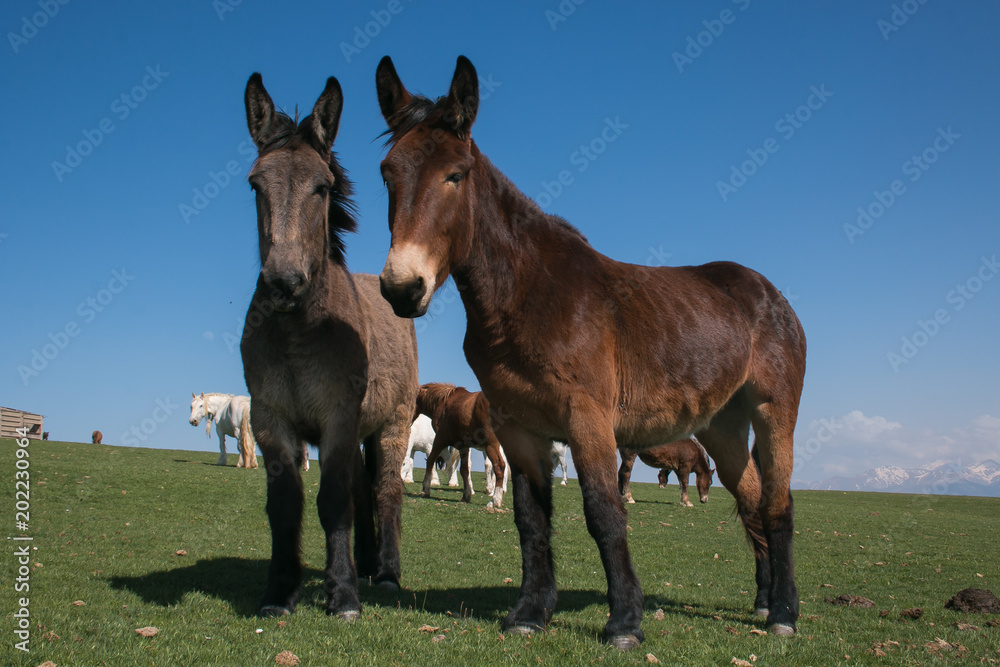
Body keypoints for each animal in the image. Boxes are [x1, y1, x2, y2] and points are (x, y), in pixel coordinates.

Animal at [241, 74, 418, 620]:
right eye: (256, 185)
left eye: (322, 187)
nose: (283, 283)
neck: (299, 335)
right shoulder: (271, 419)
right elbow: (285, 505)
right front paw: (280, 592)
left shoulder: (338, 417)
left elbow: (335, 500)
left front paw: (342, 595)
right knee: (364, 493)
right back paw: (365, 563)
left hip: (392, 424)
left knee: (385, 491)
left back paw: (385, 573)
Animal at [374, 57, 804, 648]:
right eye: (388, 173)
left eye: (455, 174)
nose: (401, 287)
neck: (530, 295)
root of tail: (769, 294)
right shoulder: (518, 429)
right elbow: (531, 519)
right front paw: (531, 612)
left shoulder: (588, 420)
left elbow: (604, 511)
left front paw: (624, 622)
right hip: (723, 427)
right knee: (752, 503)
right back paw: (762, 601)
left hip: (772, 414)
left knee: (778, 505)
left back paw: (784, 611)